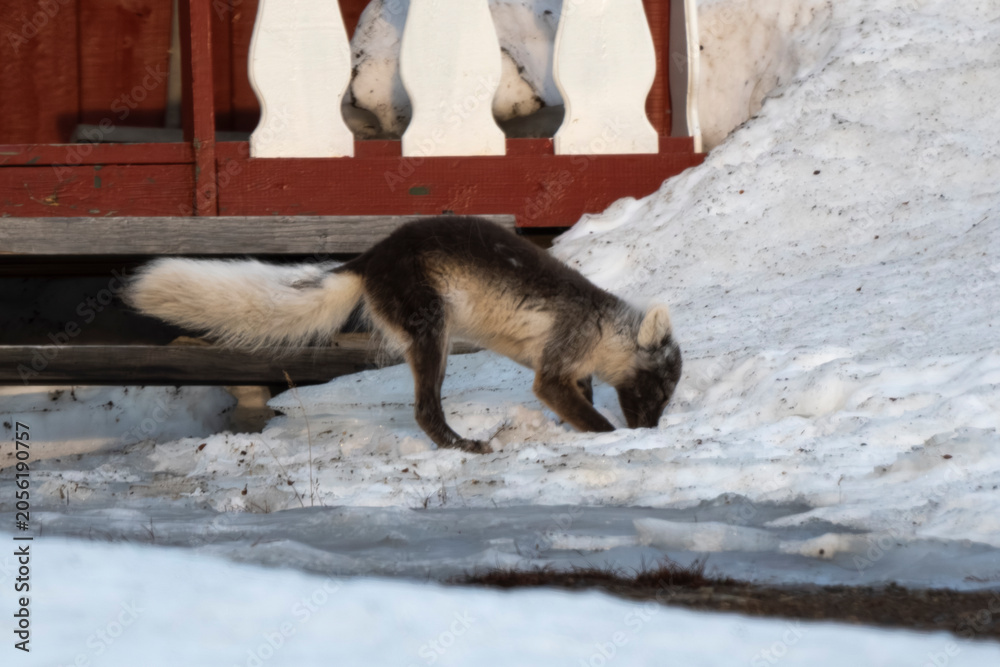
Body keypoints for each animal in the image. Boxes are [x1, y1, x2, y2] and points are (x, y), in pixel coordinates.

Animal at [125, 216, 681, 453]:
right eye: (658, 389)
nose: (652, 431)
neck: (603, 329)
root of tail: (370, 256)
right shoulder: (556, 367)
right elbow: (589, 417)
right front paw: (611, 439)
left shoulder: (566, 369)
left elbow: (580, 405)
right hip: (431, 328)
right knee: (424, 410)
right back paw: (461, 445)